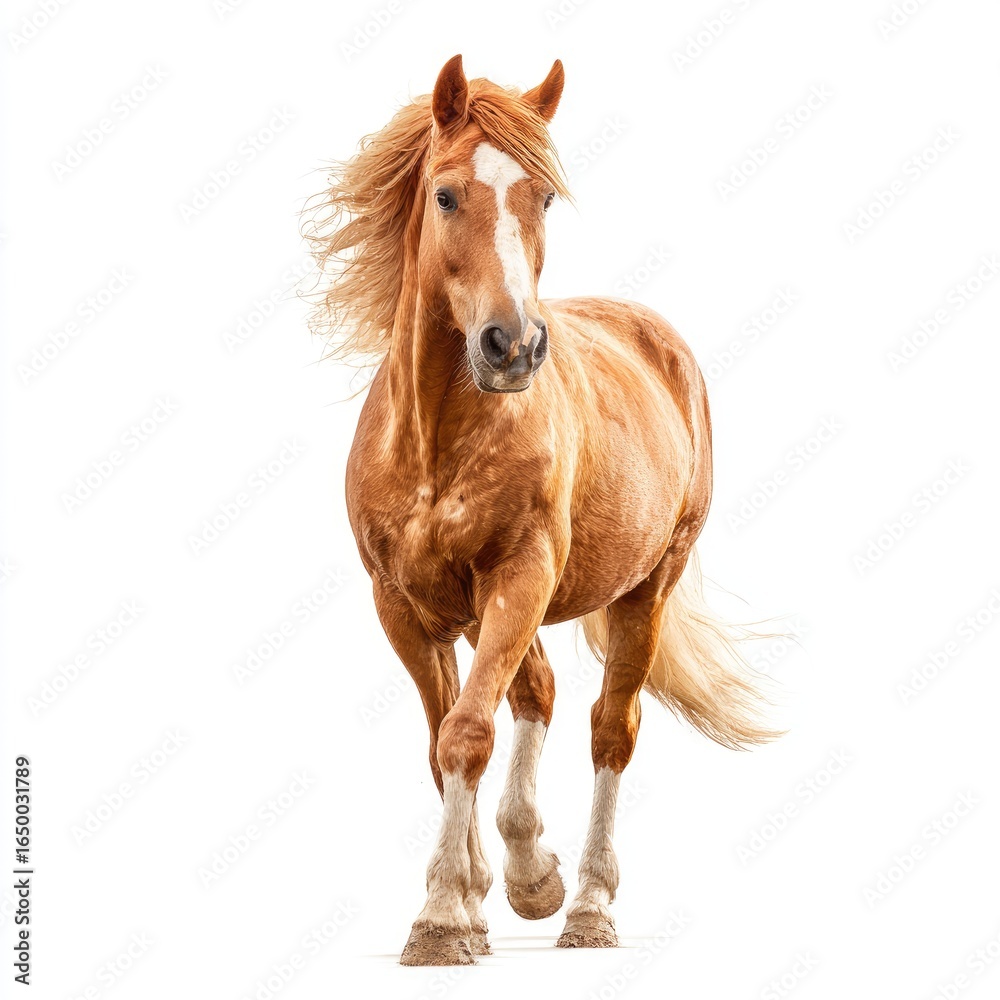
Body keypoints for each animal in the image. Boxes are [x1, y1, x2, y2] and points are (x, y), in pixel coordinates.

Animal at [305, 54, 780, 966]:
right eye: (446, 194)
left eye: (546, 198)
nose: (514, 347)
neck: (437, 440)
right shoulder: (403, 605)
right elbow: (443, 742)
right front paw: (472, 902)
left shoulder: (521, 575)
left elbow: (466, 732)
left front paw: (441, 917)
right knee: (540, 692)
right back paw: (531, 876)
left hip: (643, 589)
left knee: (610, 726)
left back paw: (586, 904)